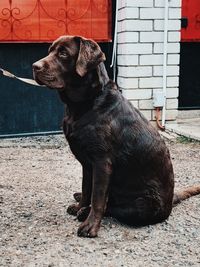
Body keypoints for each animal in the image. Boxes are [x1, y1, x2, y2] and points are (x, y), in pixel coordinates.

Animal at [32, 35, 200, 239]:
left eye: (63, 53)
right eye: (50, 51)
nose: (35, 66)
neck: (86, 103)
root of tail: (170, 202)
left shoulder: (102, 163)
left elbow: (97, 197)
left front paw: (90, 226)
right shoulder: (87, 164)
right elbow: (86, 189)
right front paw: (80, 205)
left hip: (141, 204)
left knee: (113, 207)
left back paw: (85, 214)